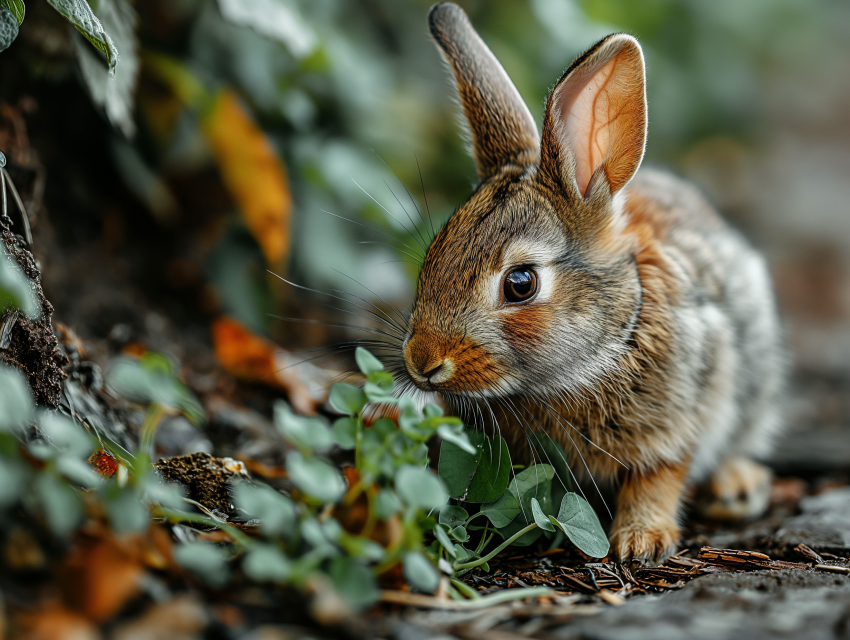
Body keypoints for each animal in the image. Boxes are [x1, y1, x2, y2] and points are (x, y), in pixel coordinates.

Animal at [398, 3, 786, 562]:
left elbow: (659, 477)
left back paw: (736, 487)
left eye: (520, 283)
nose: (422, 361)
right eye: (432, 255)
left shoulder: (675, 421)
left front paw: (640, 542)